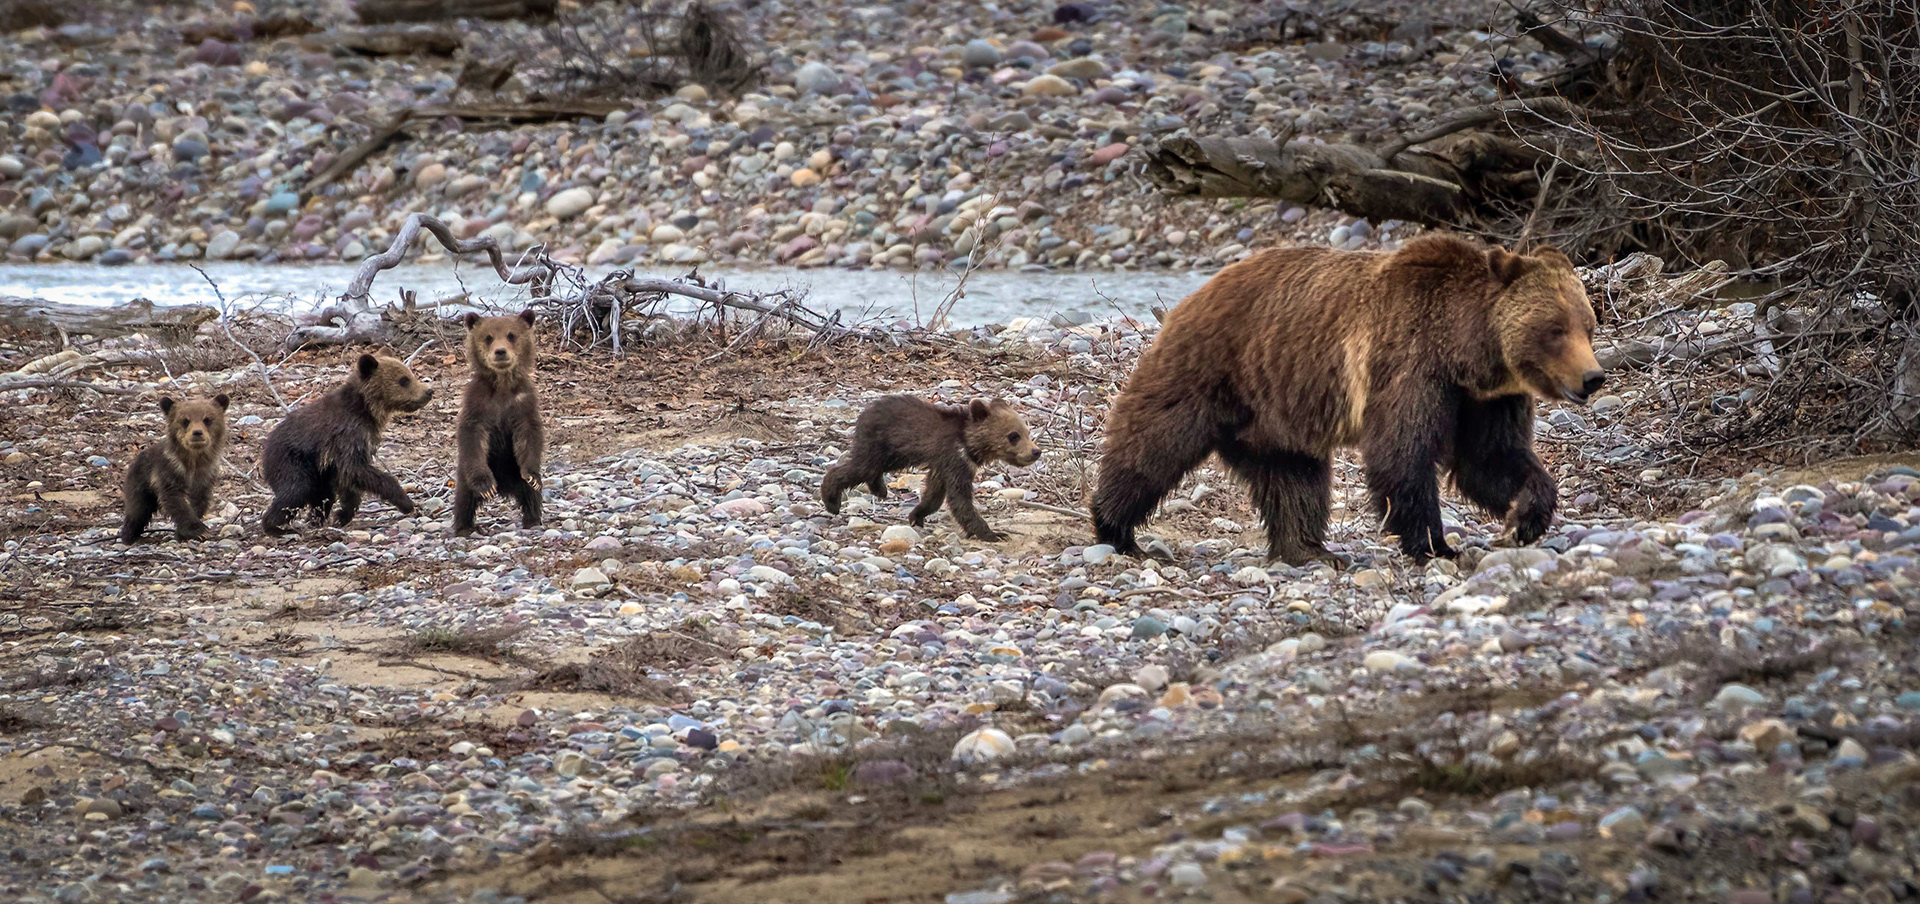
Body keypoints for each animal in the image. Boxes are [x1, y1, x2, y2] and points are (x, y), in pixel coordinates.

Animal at [120, 394, 229, 543]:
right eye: (185, 420)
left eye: (207, 419)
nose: (197, 432)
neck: (194, 460)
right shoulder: (169, 470)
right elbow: (175, 499)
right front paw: (198, 530)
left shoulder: (206, 474)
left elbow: (199, 500)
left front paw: (182, 533)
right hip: (140, 482)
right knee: (137, 509)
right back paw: (129, 535)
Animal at [261, 353, 434, 535]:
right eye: (404, 380)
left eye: (410, 375)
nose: (428, 391)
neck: (365, 409)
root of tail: (265, 449)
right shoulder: (347, 435)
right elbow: (355, 469)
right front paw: (406, 502)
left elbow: (348, 481)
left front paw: (342, 515)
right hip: (291, 461)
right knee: (295, 490)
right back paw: (276, 527)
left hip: (317, 472)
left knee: (322, 495)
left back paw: (315, 519)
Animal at [452, 310, 544, 537]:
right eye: (488, 337)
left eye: (511, 335)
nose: (500, 351)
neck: (502, 386)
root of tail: (506, 487)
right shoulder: (478, 404)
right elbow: (472, 437)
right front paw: (486, 486)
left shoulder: (523, 403)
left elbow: (530, 435)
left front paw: (532, 476)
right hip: (465, 475)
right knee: (464, 499)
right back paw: (463, 527)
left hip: (514, 471)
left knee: (531, 495)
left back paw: (533, 519)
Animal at [820, 395, 1041, 541]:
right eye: (1013, 436)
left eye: (1027, 432)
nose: (1036, 451)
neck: (968, 443)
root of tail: (865, 412)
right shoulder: (955, 458)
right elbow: (960, 499)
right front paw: (993, 533)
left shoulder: (944, 464)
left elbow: (934, 495)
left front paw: (916, 515)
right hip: (882, 444)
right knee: (860, 468)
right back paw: (831, 500)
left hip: (891, 453)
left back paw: (879, 489)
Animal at [1090, 234, 1603, 565]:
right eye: (1556, 329)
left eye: (1588, 324)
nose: (1593, 377)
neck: (1465, 351)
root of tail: (1195, 293)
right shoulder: (1410, 366)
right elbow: (1403, 455)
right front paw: (1434, 544)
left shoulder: (1485, 398)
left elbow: (1490, 459)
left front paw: (1526, 517)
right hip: (1211, 369)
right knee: (1154, 442)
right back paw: (1116, 528)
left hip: (1276, 414)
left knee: (1294, 477)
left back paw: (1309, 549)